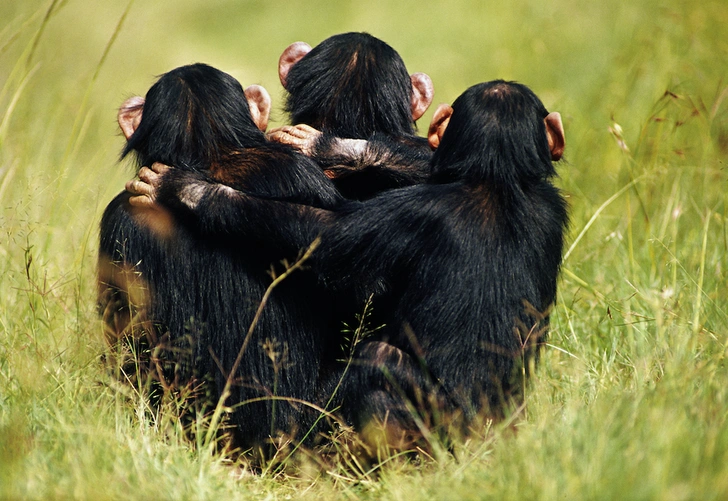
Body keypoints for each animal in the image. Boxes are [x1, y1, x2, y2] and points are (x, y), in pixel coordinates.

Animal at [125, 79, 568, 454]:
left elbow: (329, 235)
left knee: (378, 363)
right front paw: (338, 148)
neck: (496, 179)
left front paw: (186, 189)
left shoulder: (409, 212)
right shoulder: (548, 200)